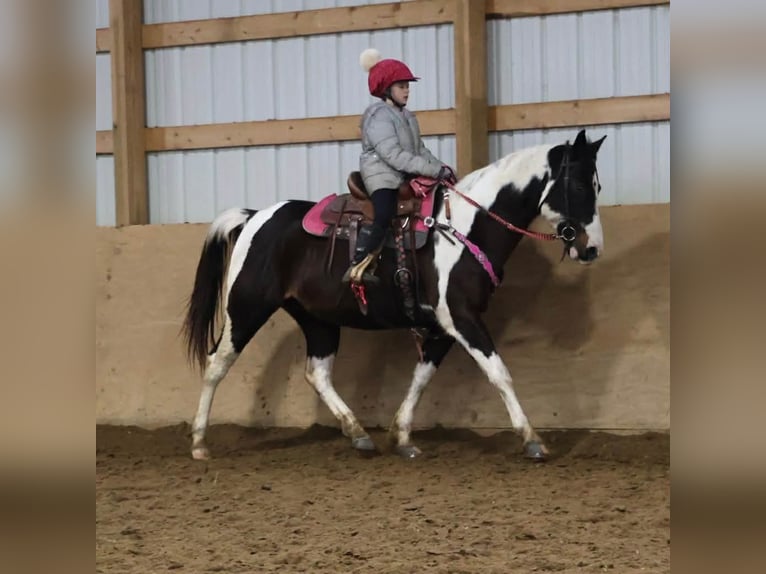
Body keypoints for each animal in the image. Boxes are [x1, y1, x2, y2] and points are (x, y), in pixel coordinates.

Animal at [182, 129, 607, 462]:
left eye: (597, 186)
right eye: (579, 185)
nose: (591, 249)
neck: (464, 228)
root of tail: (254, 216)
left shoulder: (442, 326)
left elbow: (421, 377)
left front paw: (403, 437)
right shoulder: (462, 317)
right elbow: (499, 373)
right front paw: (532, 440)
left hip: (317, 319)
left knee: (317, 373)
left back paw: (358, 434)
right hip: (246, 309)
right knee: (217, 363)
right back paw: (200, 443)